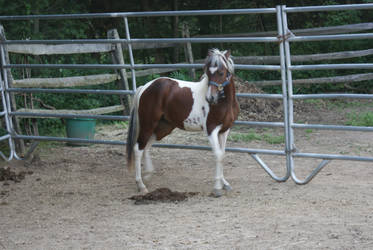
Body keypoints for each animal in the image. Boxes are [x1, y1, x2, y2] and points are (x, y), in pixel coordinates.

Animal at [126, 48, 238, 197]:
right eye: (208, 72)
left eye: (221, 72)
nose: (210, 98)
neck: (224, 103)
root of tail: (145, 87)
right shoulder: (211, 130)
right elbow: (218, 155)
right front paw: (217, 188)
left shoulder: (224, 130)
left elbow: (222, 154)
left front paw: (224, 183)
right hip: (148, 124)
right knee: (138, 148)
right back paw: (141, 185)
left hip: (163, 127)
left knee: (147, 146)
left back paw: (148, 175)